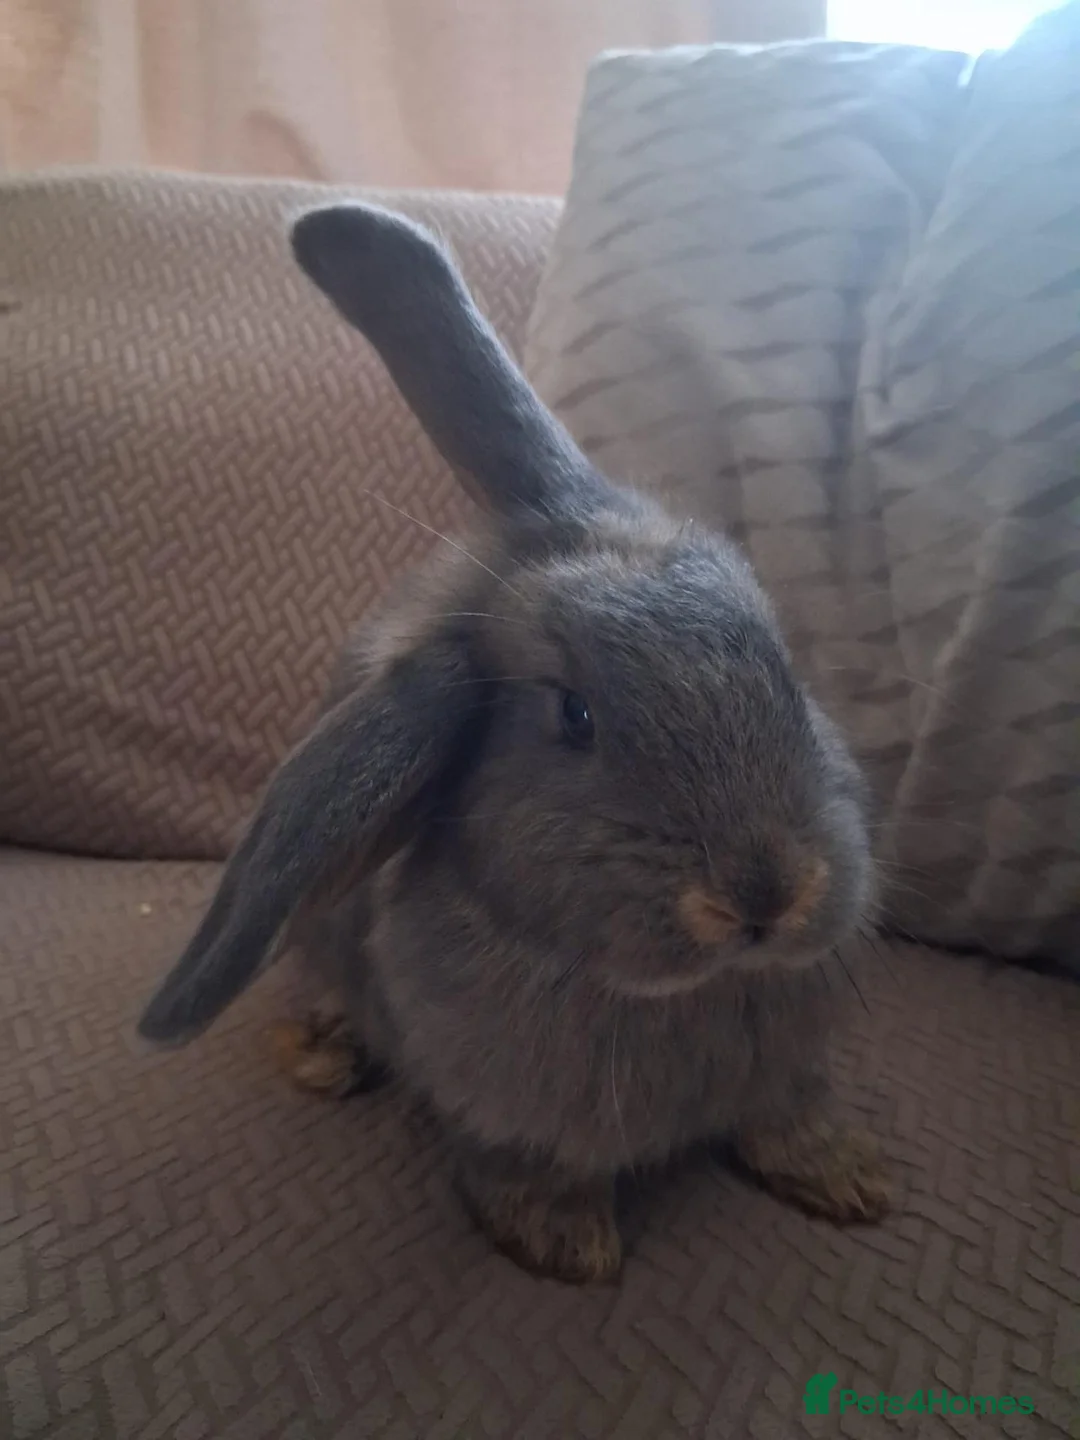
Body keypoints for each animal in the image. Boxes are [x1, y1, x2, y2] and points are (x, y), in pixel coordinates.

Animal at [137, 202, 888, 1283]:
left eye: (781, 659)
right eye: (574, 716)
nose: (766, 894)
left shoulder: (787, 1070)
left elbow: (790, 1119)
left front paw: (850, 1180)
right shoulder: (503, 1109)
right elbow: (524, 1167)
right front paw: (566, 1245)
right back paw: (325, 1054)